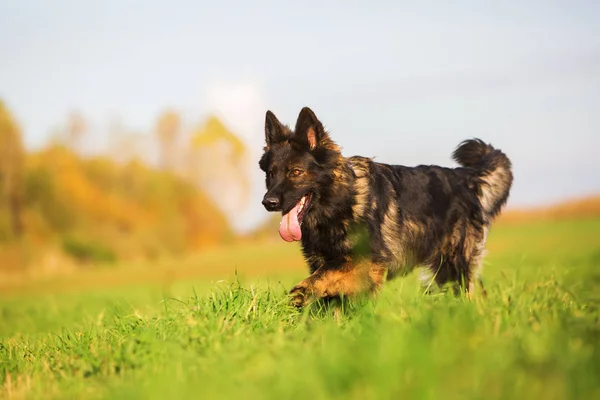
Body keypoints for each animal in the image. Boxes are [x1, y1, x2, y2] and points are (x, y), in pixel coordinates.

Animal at [260, 107, 512, 310]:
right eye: (271, 173)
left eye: (296, 172)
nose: (268, 202)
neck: (341, 203)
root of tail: (465, 177)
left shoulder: (369, 262)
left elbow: (329, 273)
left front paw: (300, 293)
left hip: (454, 264)